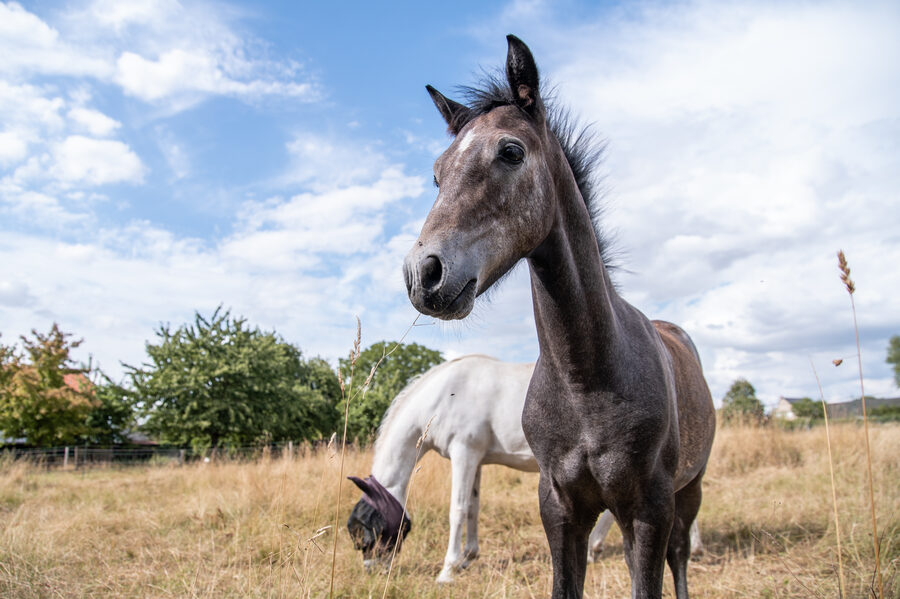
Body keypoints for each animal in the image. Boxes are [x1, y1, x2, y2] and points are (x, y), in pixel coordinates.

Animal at [346, 355, 704, 583]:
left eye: (364, 528)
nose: (371, 568)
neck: (445, 395)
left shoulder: (464, 454)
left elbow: (457, 510)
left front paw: (447, 570)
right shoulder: (476, 459)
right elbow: (473, 507)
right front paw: (468, 557)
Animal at [403, 36, 716, 599]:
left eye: (510, 151)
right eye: (436, 172)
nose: (423, 274)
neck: (585, 377)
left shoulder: (649, 512)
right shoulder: (559, 509)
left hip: (689, 489)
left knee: (681, 556)